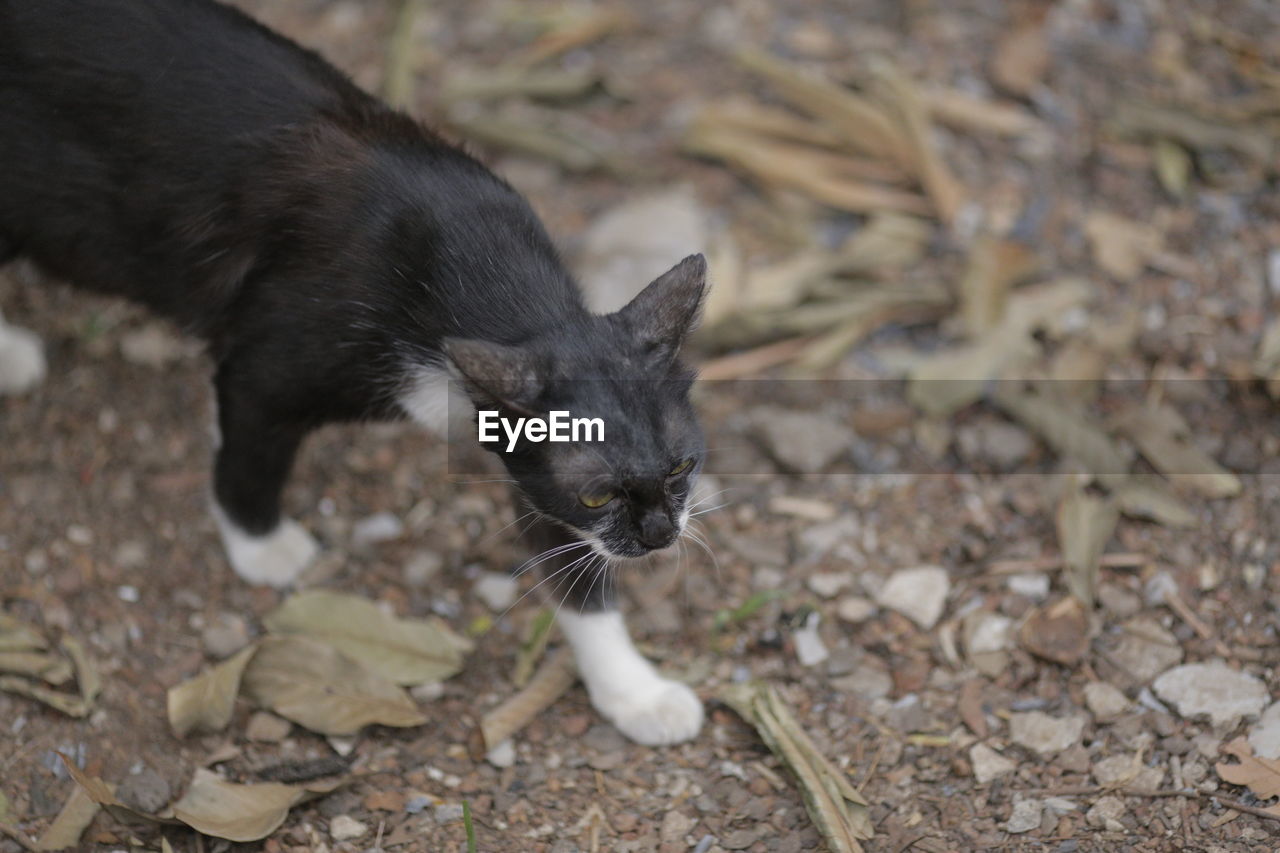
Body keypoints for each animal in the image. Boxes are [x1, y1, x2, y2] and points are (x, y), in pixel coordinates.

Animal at [0, 0, 706, 742]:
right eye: (598, 495)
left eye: (684, 466)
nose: (660, 535)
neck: (489, 279)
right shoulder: (264, 367)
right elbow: (249, 459)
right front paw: (262, 546)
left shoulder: (523, 454)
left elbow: (575, 572)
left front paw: (633, 691)